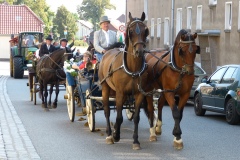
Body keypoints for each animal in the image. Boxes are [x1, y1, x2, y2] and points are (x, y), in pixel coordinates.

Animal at [98, 11, 149, 149]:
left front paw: (136, 141)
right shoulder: (120, 93)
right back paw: (109, 134)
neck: (132, 69)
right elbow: (119, 117)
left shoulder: (139, 94)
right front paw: (116, 135)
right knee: (106, 110)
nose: (139, 51)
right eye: (130, 31)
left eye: (145, 30)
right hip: (105, 88)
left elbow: (136, 117)